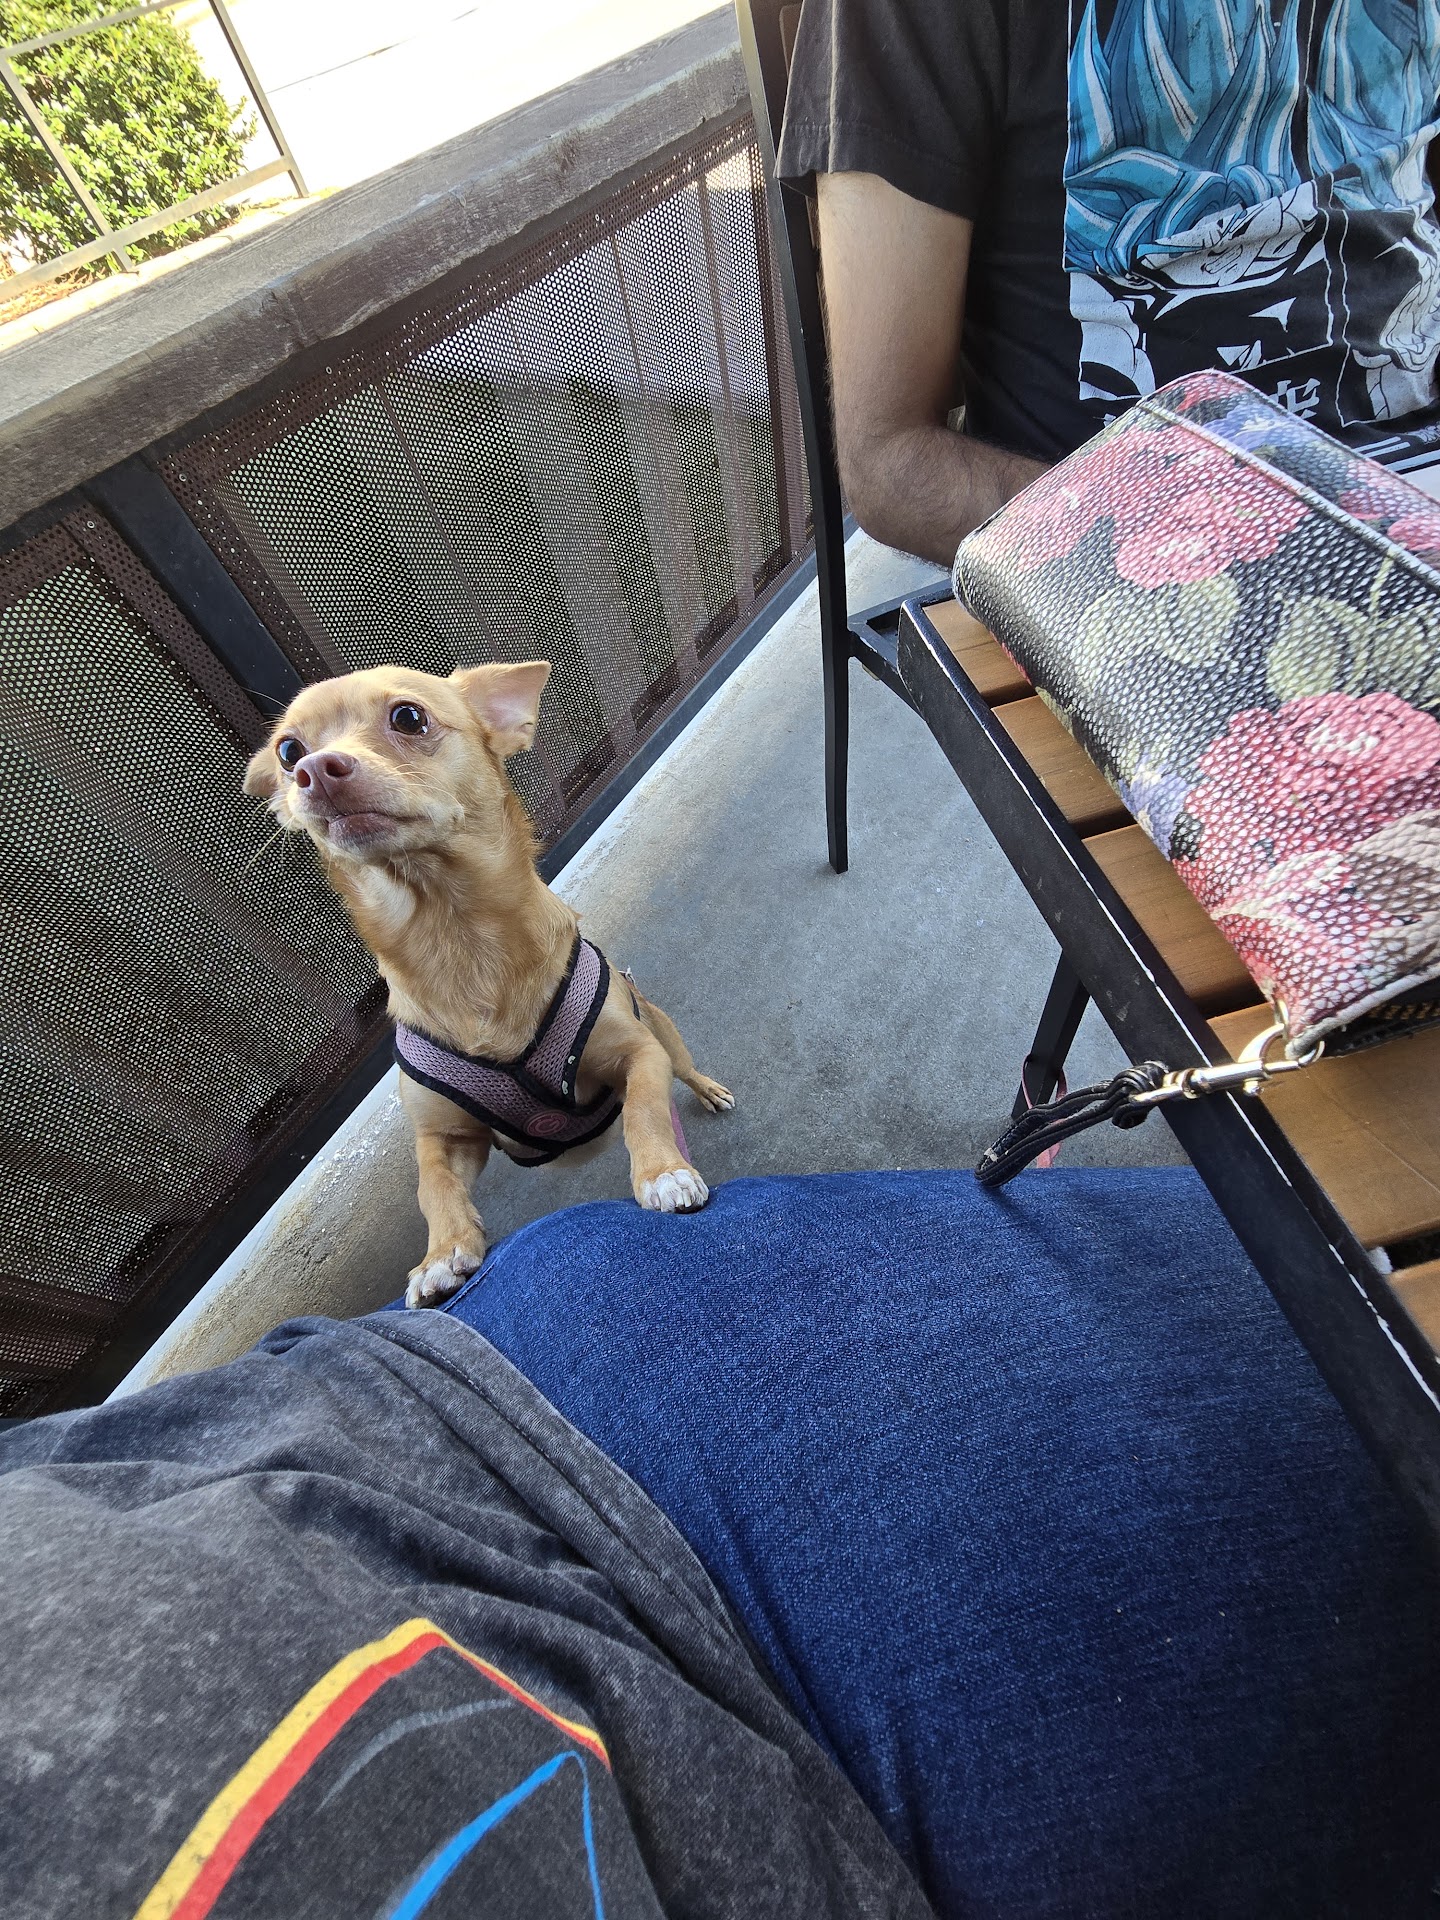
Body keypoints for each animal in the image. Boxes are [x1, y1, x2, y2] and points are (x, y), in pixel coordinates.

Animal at [244, 660, 733, 1308]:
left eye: (408, 717)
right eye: (288, 750)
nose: (313, 769)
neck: (459, 939)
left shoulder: (638, 1055)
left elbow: (645, 1111)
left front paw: (661, 1172)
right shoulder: (447, 1136)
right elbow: (432, 1188)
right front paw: (443, 1254)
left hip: (662, 1030)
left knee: (683, 1068)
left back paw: (709, 1090)